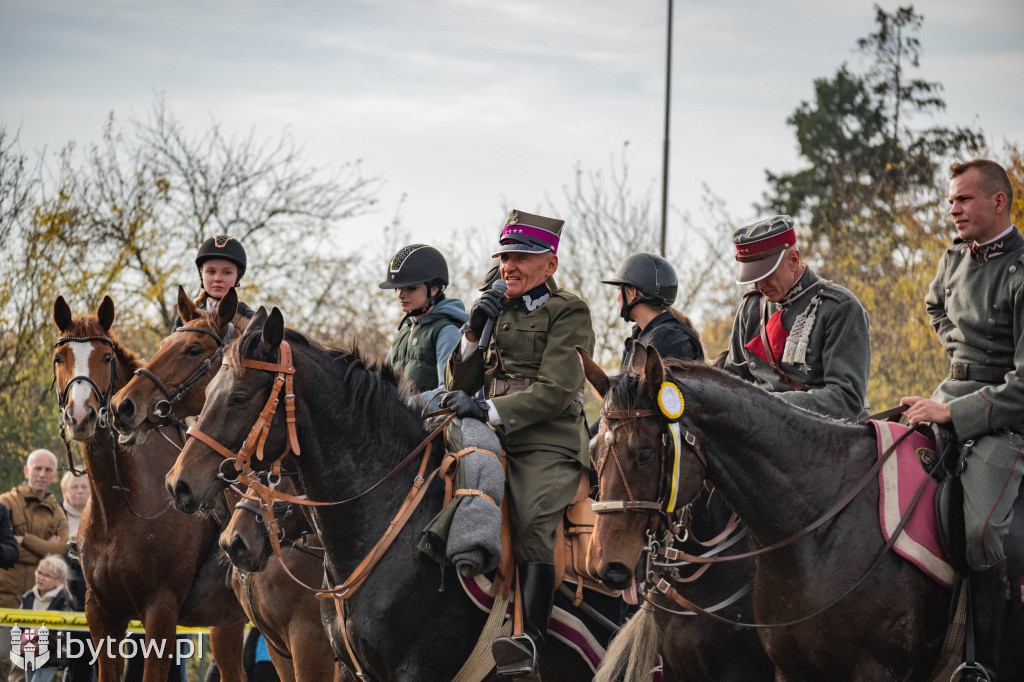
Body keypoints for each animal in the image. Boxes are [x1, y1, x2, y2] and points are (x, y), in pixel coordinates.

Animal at [53, 292, 247, 679]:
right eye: (58, 358)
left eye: (107, 357)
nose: (81, 416)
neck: (121, 506)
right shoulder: (102, 615)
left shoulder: (160, 614)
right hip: (229, 624)